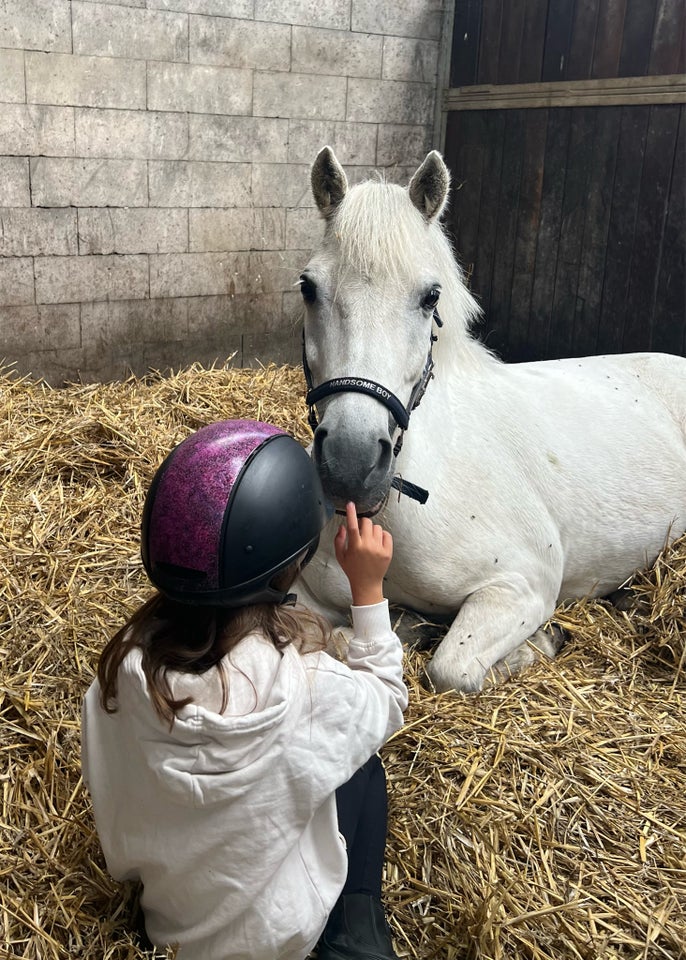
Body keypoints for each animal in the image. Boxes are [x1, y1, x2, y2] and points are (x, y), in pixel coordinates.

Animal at [298, 146, 686, 692]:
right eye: (309, 288)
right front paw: (411, 625)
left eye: (431, 296)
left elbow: (450, 669)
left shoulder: (521, 584)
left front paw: (542, 642)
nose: (350, 465)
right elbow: (326, 635)